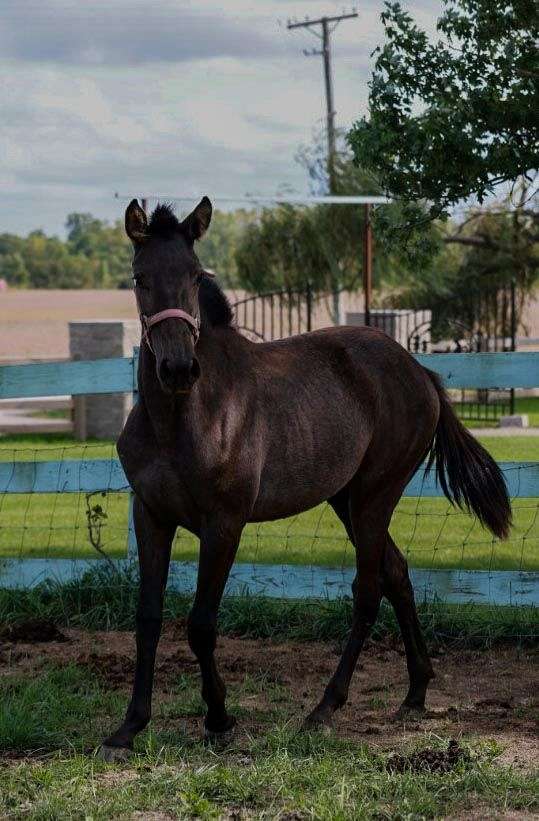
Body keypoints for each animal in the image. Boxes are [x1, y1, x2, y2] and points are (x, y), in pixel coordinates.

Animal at [100, 198, 511, 760]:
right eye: (140, 278)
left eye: (195, 275)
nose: (179, 368)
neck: (181, 418)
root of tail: (420, 371)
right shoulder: (152, 516)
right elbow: (148, 617)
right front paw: (130, 725)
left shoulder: (224, 524)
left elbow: (202, 624)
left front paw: (220, 719)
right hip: (346, 499)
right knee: (397, 573)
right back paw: (415, 692)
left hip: (375, 495)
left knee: (368, 589)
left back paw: (325, 707)